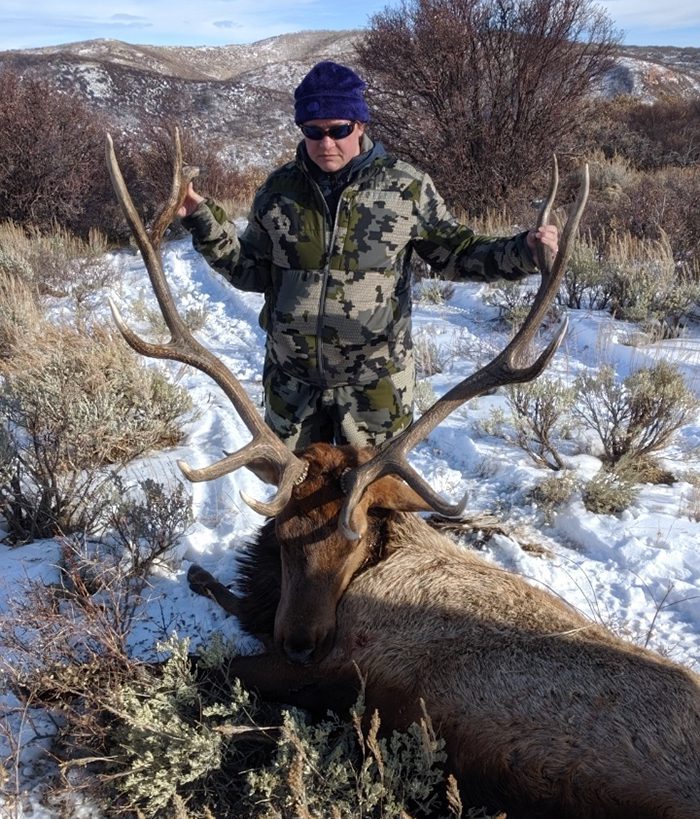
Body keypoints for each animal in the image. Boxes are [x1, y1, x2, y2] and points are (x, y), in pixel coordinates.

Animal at [105, 129, 700, 819]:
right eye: (282, 539)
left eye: (351, 546)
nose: (302, 641)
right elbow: (225, 594)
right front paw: (201, 575)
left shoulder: (334, 671)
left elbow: (198, 660)